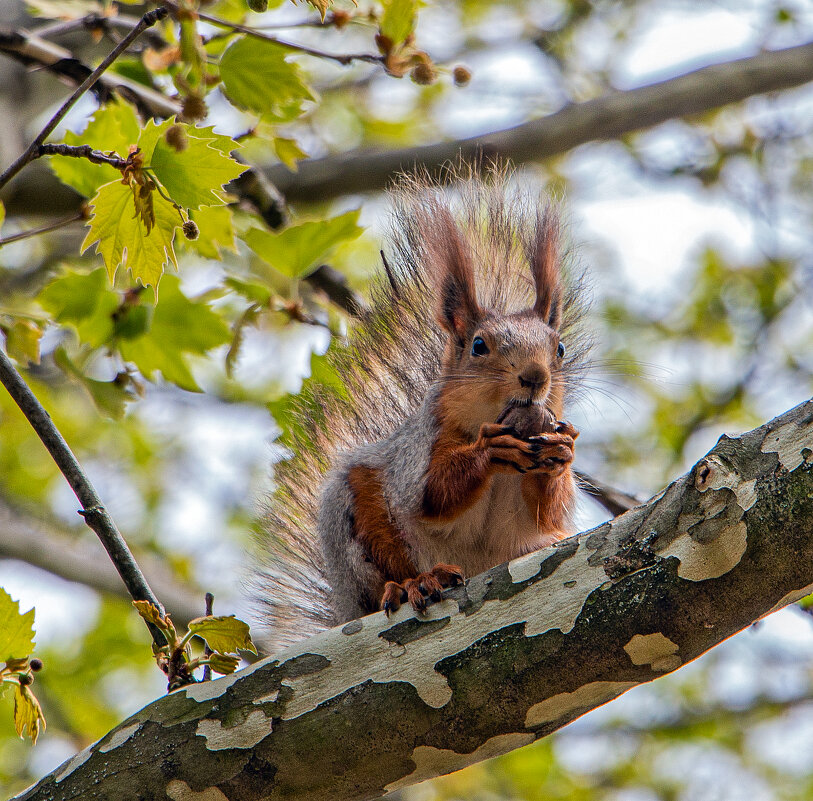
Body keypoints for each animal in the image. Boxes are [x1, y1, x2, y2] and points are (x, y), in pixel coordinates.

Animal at [254, 170, 584, 648]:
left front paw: (562, 450)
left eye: (559, 348)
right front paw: (490, 451)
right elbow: (430, 493)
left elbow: (549, 511)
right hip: (358, 530)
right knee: (383, 580)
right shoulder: (418, 451)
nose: (535, 377)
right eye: (479, 346)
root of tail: (343, 608)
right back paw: (415, 583)